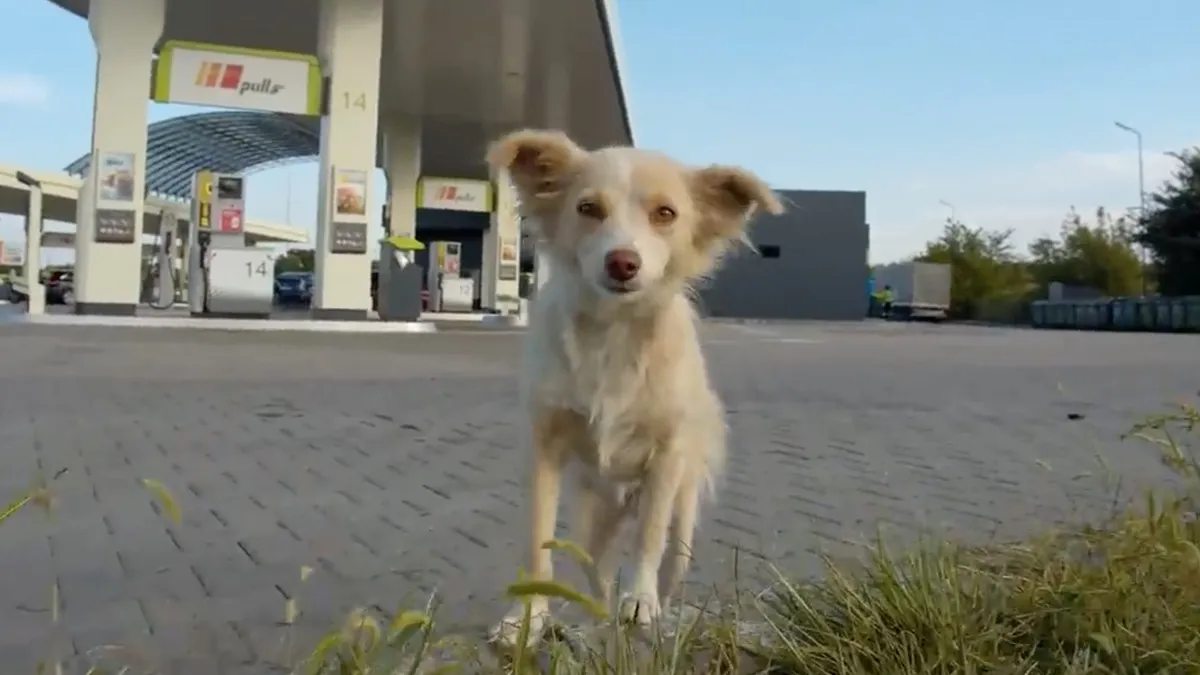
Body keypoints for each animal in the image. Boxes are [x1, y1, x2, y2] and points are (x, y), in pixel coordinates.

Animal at [487, 127, 787, 638]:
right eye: (588, 208)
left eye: (665, 214)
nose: (622, 263)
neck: (615, 331)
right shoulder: (545, 447)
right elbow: (539, 541)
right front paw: (526, 617)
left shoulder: (666, 458)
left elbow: (648, 538)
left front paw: (641, 600)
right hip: (594, 519)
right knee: (597, 569)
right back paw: (599, 607)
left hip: (682, 509)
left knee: (668, 556)